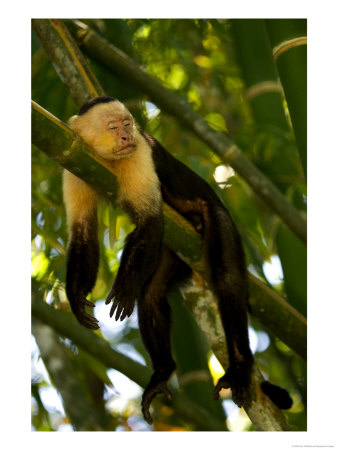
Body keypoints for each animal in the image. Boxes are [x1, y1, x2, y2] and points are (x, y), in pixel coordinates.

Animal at [63, 96, 294, 426]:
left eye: (128, 124)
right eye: (113, 127)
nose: (126, 137)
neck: (104, 160)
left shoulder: (140, 153)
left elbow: (150, 221)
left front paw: (124, 286)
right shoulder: (74, 160)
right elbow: (83, 233)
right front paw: (75, 297)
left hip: (218, 221)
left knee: (227, 279)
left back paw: (240, 367)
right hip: (172, 250)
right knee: (151, 296)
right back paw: (163, 372)